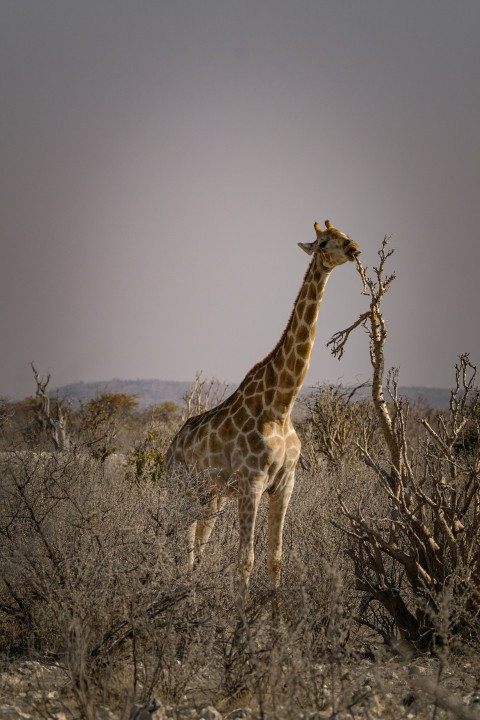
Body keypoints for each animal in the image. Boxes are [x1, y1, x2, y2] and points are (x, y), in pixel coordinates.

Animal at [166, 220, 360, 594]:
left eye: (345, 234)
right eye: (323, 242)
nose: (354, 249)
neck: (281, 405)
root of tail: (170, 447)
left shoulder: (285, 485)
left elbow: (275, 558)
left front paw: (272, 608)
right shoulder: (251, 483)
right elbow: (246, 560)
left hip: (211, 497)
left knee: (197, 549)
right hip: (181, 489)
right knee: (181, 549)